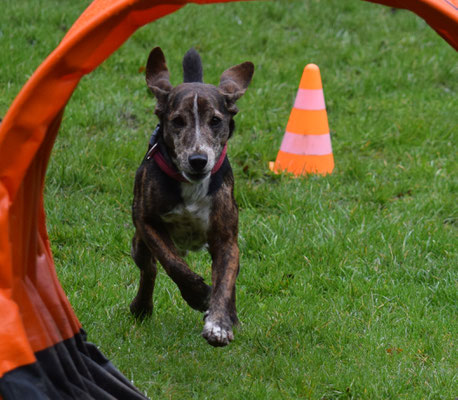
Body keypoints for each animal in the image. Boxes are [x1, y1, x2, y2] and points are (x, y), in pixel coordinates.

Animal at [130, 47, 254, 346]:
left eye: (215, 121)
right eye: (177, 121)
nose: (198, 160)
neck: (191, 185)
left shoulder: (226, 239)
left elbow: (224, 281)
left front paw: (219, 324)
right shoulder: (147, 222)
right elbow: (173, 264)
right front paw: (198, 295)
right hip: (137, 243)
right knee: (148, 267)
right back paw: (141, 307)